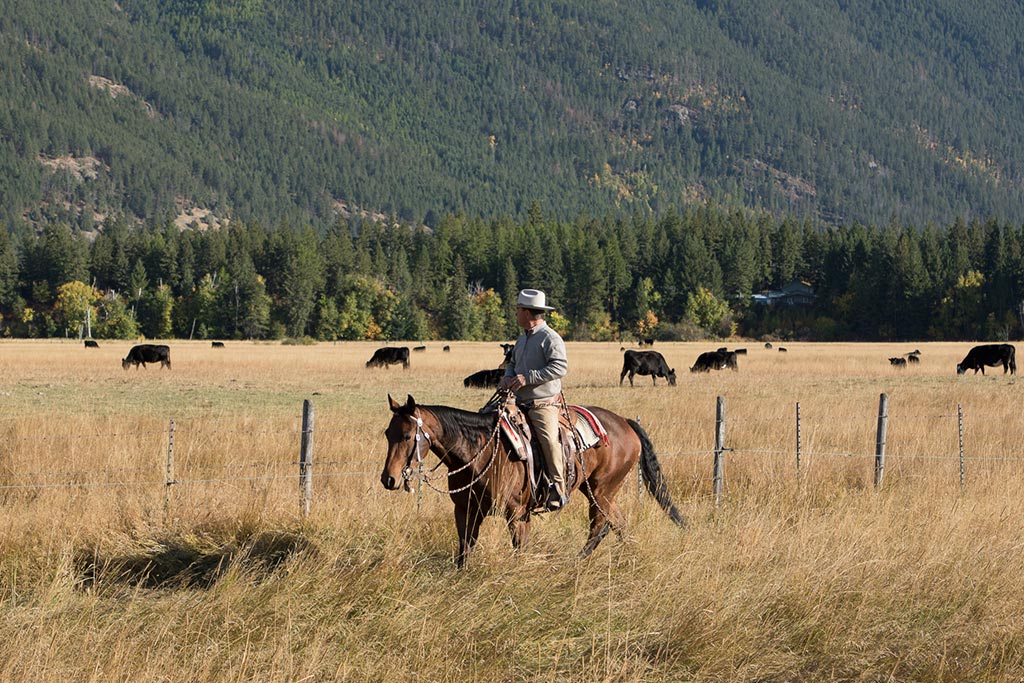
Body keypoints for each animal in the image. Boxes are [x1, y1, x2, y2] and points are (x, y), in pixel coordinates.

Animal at [380, 395, 684, 565]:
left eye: (407, 436)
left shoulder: (515, 512)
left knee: (600, 525)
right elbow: (465, 551)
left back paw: (577, 564)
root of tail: (624, 422)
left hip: (602, 490)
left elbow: (519, 548)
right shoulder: (466, 510)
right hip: (597, 491)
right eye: (387, 433)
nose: (389, 479)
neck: (481, 451)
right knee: (617, 524)